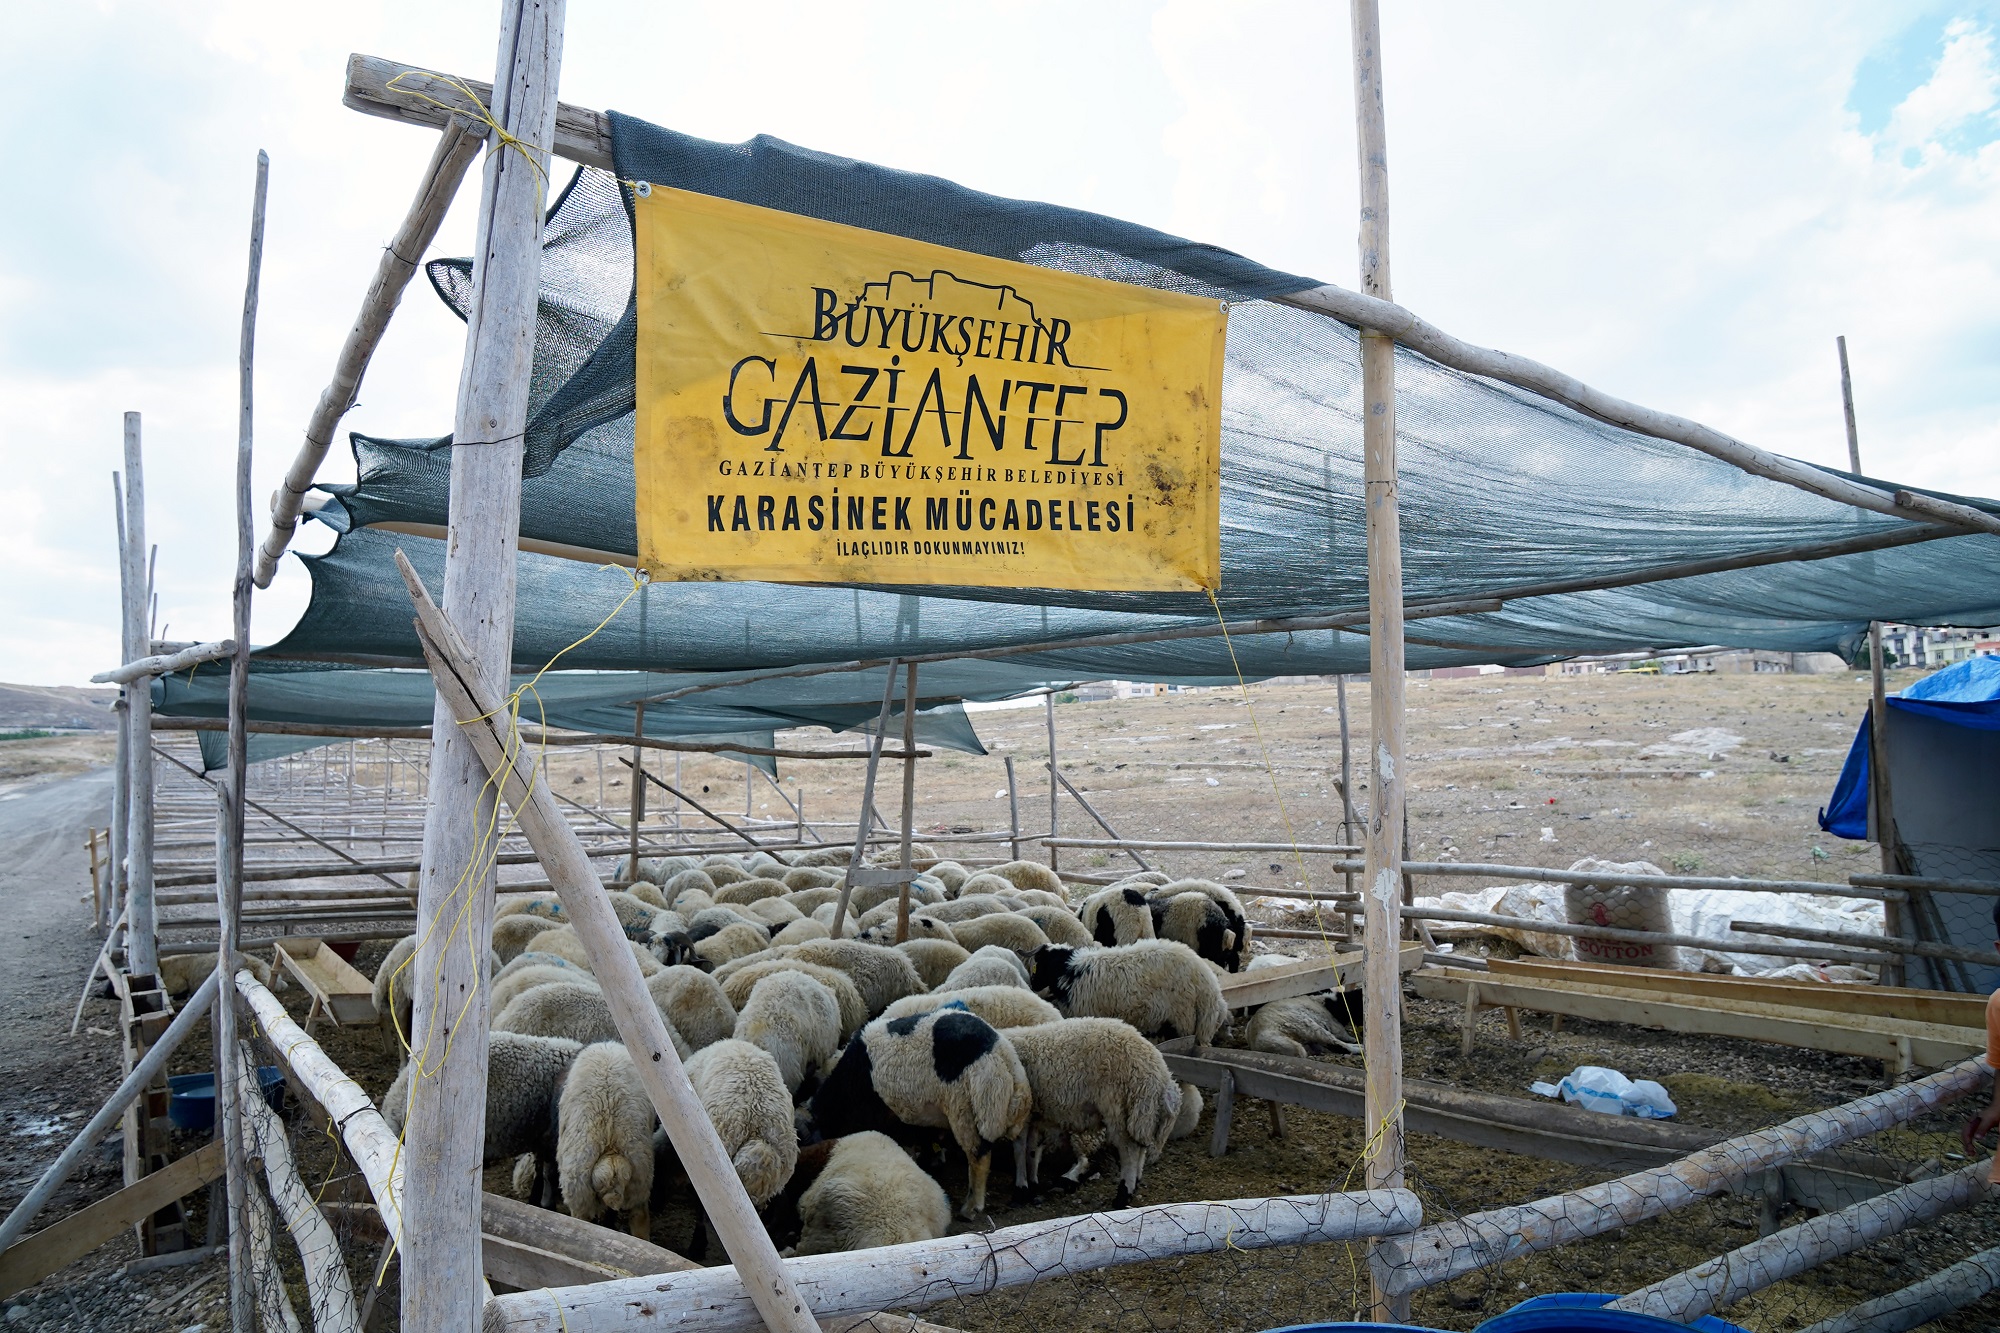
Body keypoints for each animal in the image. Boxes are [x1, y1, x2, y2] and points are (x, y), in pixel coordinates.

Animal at [808, 1008, 1032, 1216]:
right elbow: (924, 1141)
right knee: (1020, 1142)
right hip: (1002, 1111)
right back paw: (1021, 1187)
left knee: (979, 1156)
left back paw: (971, 1207)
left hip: (968, 1109)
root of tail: (1003, 1057)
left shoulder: (874, 1114)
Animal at [1008, 1016, 1176, 1200]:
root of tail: (1159, 1072)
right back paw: (1135, 1181)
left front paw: (1022, 1186)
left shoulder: (1023, 1112)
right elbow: (1032, 1149)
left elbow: (1019, 1148)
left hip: (1119, 1107)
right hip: (1141, 1112)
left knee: (1128, 1150)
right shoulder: (1037, 1115)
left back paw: (1123, 1192)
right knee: (1141, 1147)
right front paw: (1032, 1182)